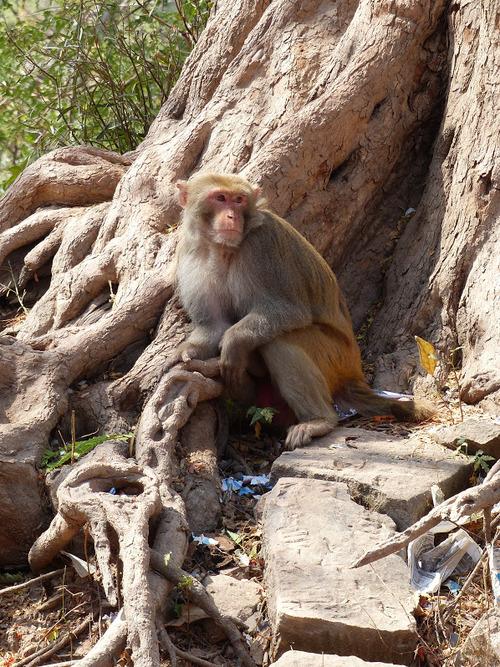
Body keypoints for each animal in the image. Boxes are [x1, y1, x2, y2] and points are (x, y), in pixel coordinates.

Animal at [165, 175, 434, 452]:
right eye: (220, 198)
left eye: (238, 200)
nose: (231, 216)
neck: (223, 248)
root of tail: (355, 373)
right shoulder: (191, 254)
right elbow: (213, 325)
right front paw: (186, 352)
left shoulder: (264, 244)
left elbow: (289, 310)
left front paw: (232, 342)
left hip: (335, 358)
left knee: (279, 340)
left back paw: (318, 421)